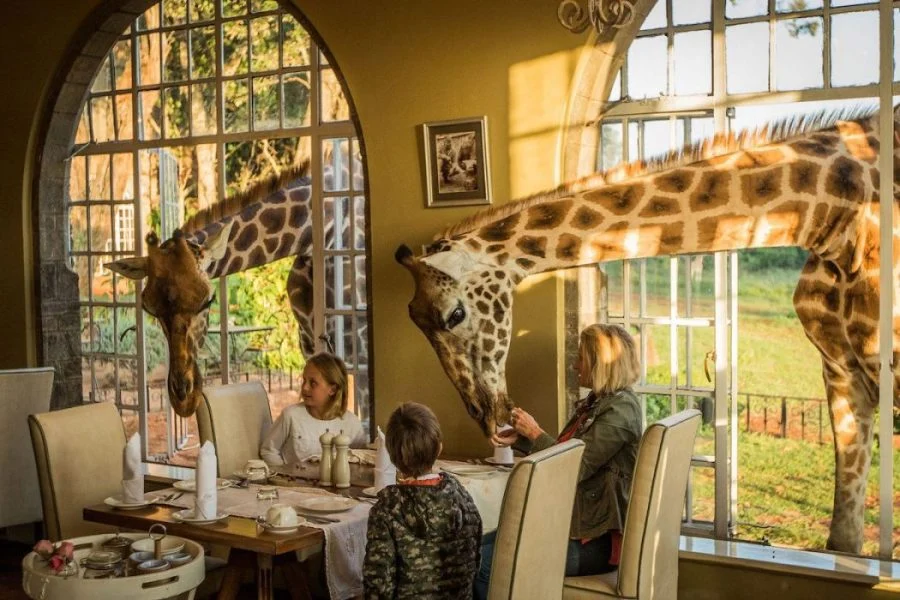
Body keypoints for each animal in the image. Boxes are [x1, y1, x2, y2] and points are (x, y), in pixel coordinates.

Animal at [396, 105, 900, 554]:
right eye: (416, 324)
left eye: (454, 315)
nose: (490, 416)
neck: (831, 214)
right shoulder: (841, 369)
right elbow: (845, 538)